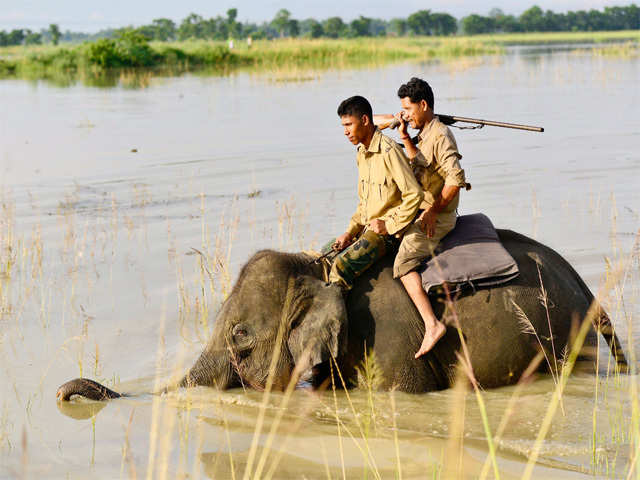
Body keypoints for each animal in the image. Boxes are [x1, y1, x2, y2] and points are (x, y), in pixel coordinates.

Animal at [57, 229, 628, 402]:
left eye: (241, 338)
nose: (64, 393)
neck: (320, 271)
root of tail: (590, 294)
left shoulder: (393, 340)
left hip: (567, 336)